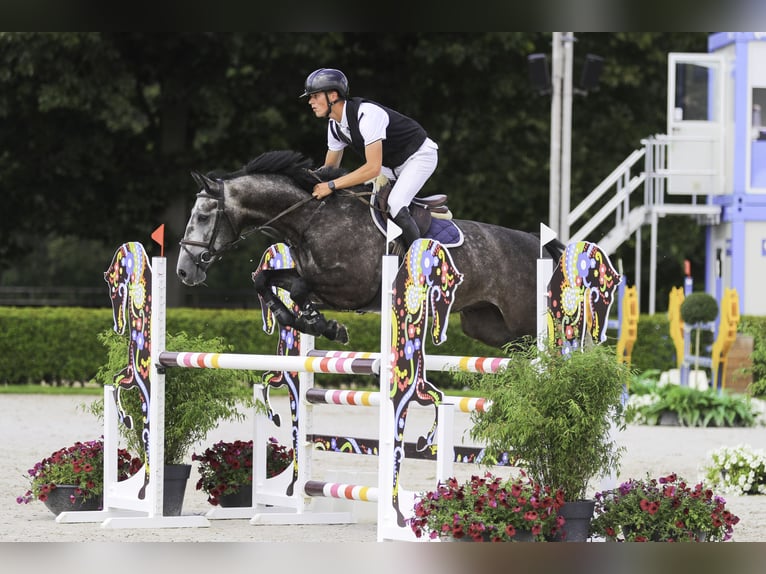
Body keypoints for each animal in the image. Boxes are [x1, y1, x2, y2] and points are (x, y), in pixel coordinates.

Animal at [178, 148, 564, 352]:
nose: (184, 270)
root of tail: (537, 243)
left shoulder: (351, 289)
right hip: (489, 326)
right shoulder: (309, 275)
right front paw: (304, 320)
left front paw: (324, 324)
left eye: (202, 215)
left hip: (523, 321)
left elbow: (300, 288)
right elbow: (265, 280)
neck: (311, 218)